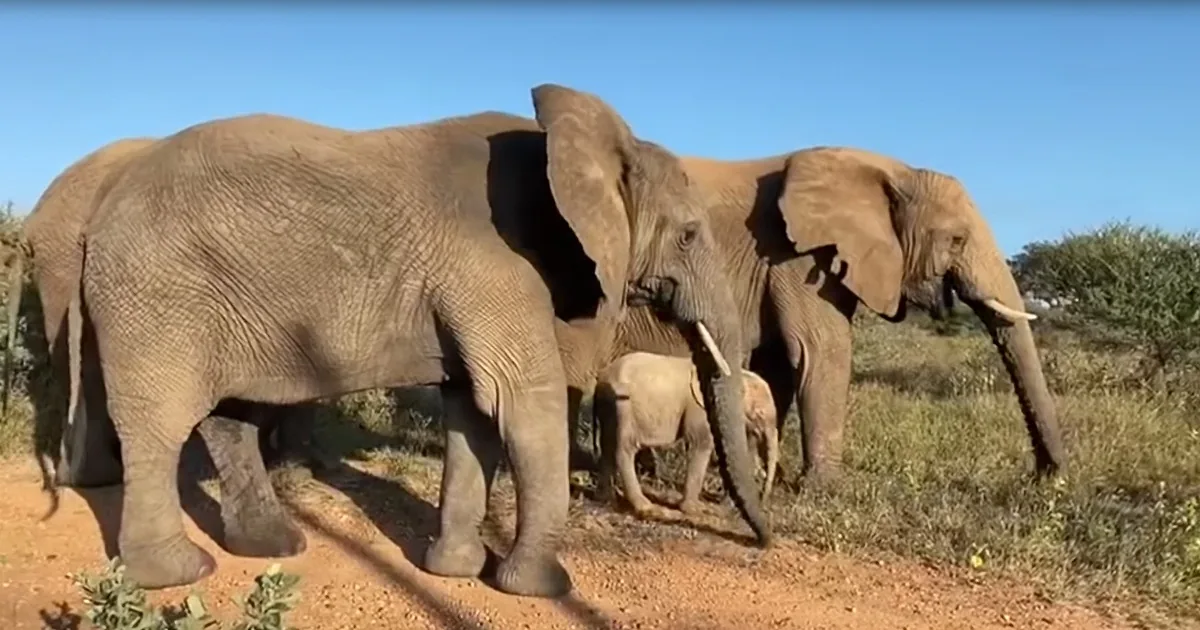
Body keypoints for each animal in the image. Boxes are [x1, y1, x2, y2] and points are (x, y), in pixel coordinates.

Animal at [593, 351, 778, 517]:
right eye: (759, 414)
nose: (763, 501)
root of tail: (601, 378)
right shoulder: (701, 408)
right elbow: (701, 443)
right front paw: (695, 510)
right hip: (624, 407)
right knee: (624, 448)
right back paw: (646, 508)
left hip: (609, 407)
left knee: (607, 445)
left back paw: (607, 500)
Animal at [607, 146, 1066, 482]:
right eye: (956, 240)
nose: (1045, 478)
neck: (894, 172)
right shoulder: (794, 256)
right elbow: (821, 350)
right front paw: (822, 488)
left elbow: (777, 365)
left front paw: (767, 477)